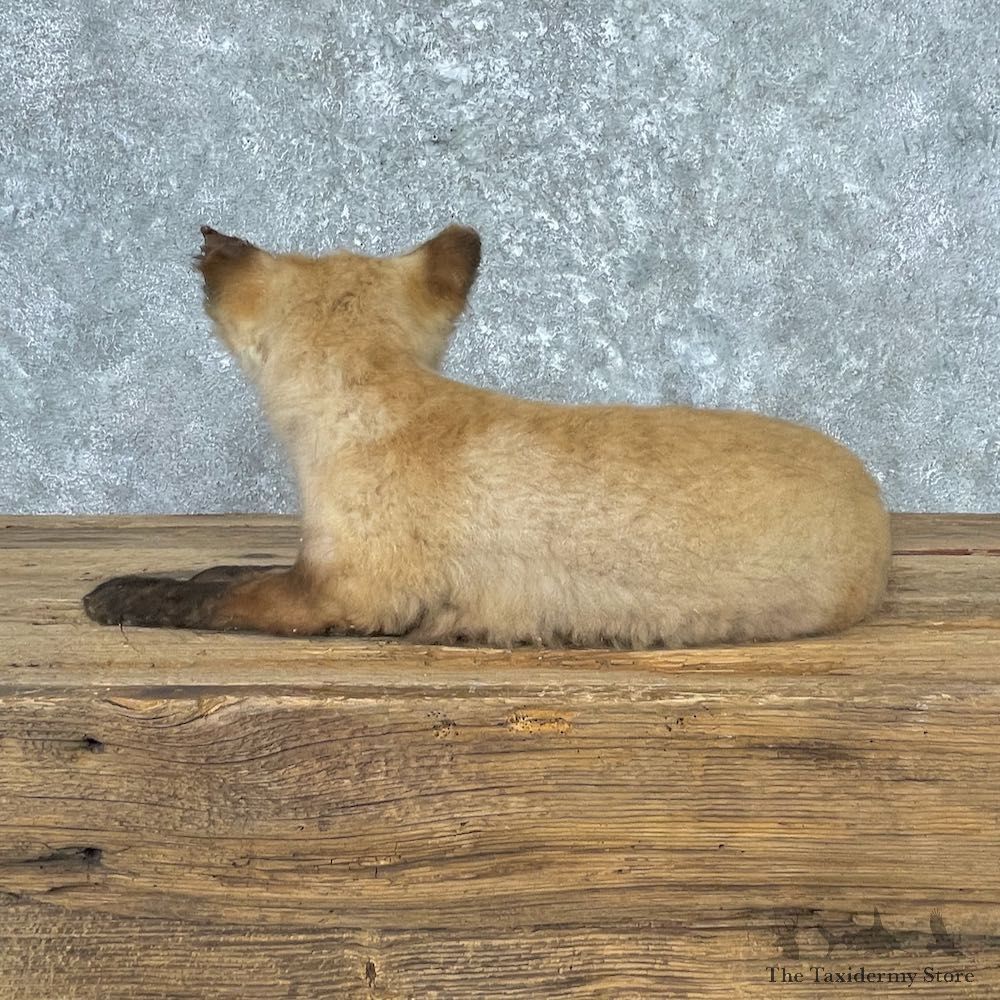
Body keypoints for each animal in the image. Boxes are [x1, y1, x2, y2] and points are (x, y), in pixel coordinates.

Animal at [83, 224, 891, 648]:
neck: (379, 414)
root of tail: (875, 499)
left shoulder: (343, 597)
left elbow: (208, 597)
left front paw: (118, 593)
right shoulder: (313, 567)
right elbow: (221, 569)